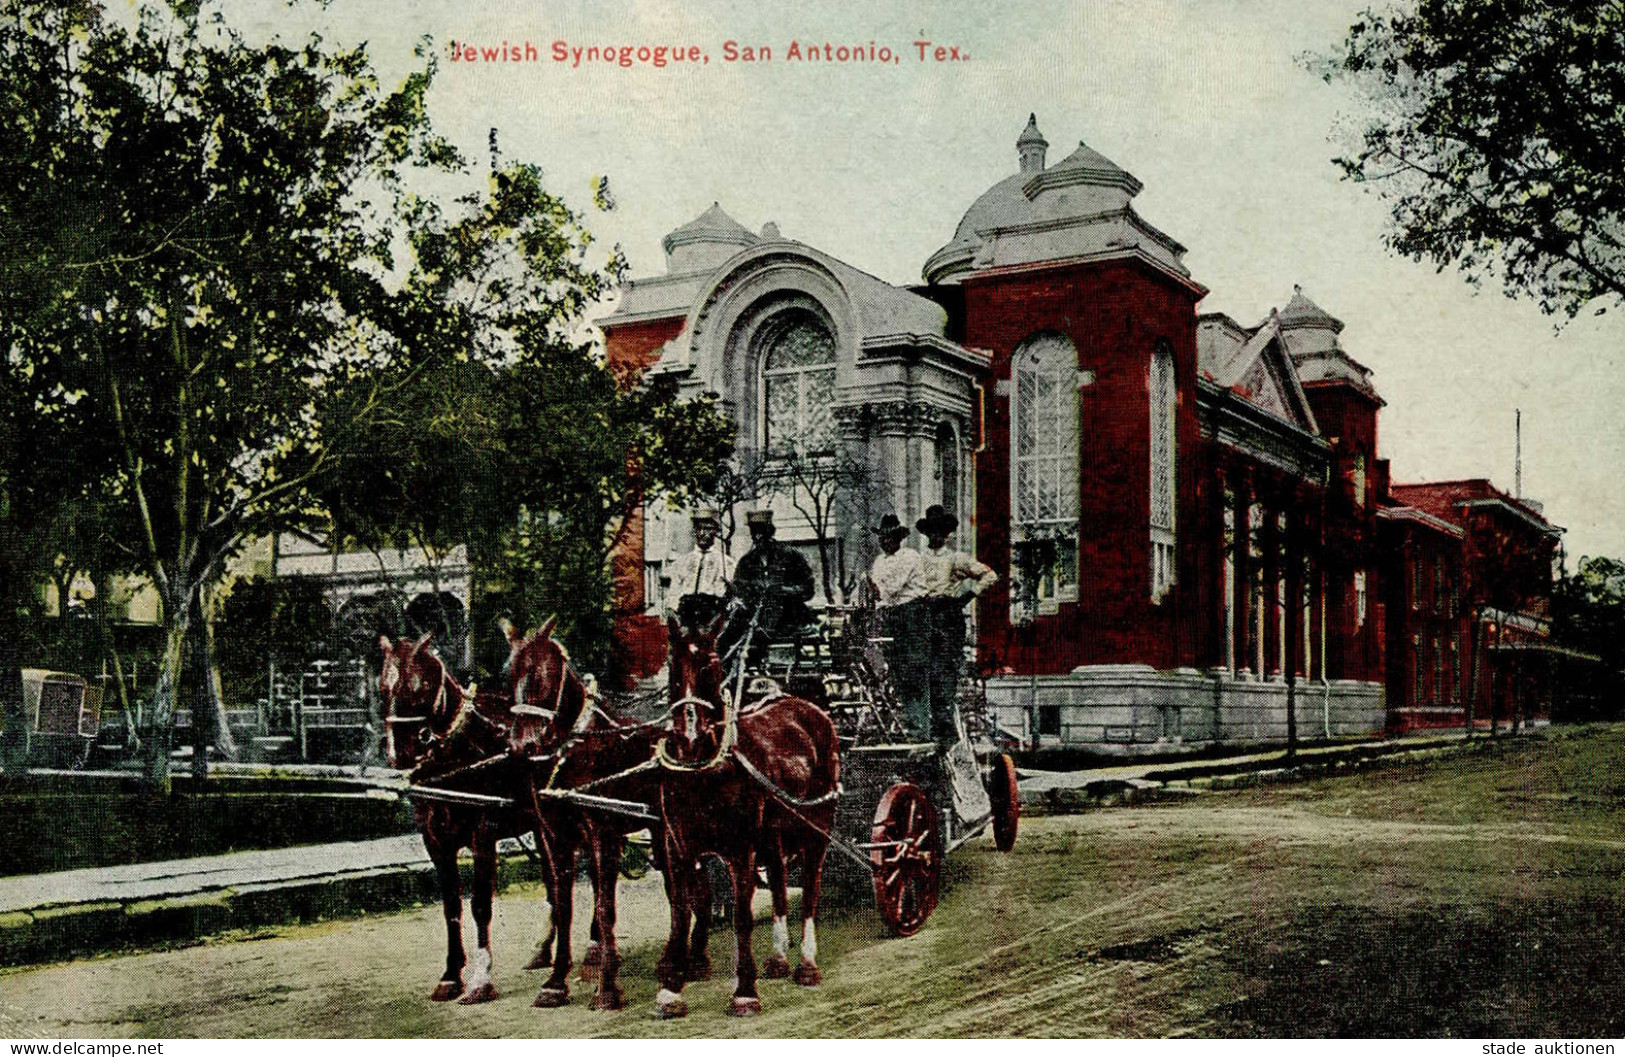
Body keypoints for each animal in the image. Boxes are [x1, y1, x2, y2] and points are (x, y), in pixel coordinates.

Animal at [656, 614, 845, 1014]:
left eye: (712, 667)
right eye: (675, 668)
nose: (690, 734)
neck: (703, 769)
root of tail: (807, 707)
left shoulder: (739, 849)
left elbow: (741, 916)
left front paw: (744, 991)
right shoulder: (678, 848)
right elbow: (680, 915)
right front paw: (671, 990)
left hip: (817, 826)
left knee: (811, 888)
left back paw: (807, 965)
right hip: (772, 836)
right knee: (778, 884)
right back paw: (778, 959)